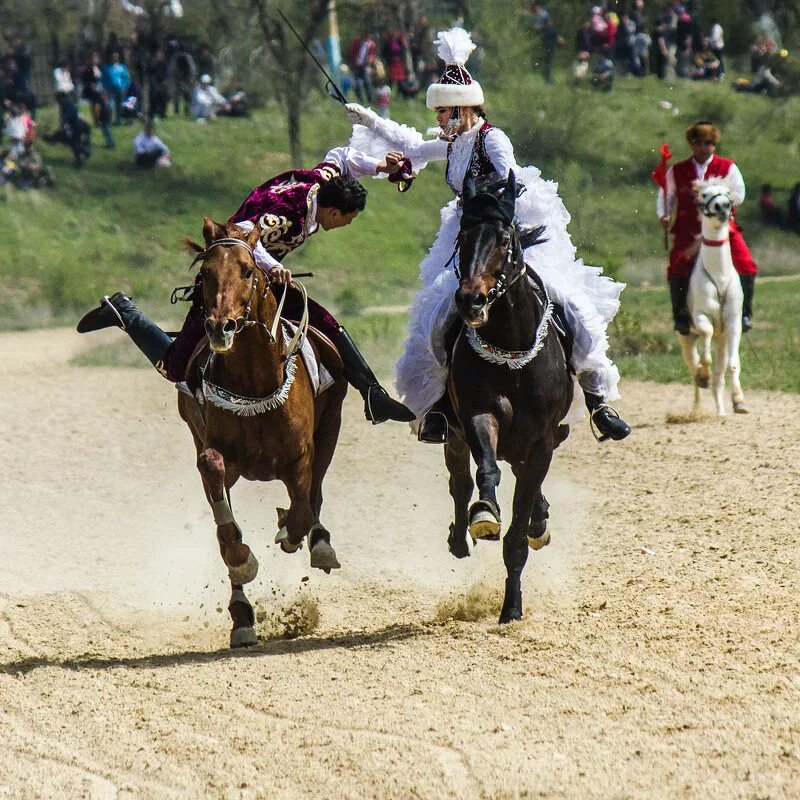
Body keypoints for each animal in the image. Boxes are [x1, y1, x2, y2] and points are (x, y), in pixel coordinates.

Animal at [180, 216, 346, 648]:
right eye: (205, 274)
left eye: (246, 270)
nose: (220, 328)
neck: (255, 383)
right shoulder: (214, 453)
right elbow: (224, 521)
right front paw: (242, 562)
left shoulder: (301, 455)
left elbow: (304, 508)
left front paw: (292, 532)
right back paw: (242, 619)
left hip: (331, 427)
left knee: (315, 495)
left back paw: (317, 543)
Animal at [680, 179, 748, 416]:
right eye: (703, 194)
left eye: (728, 193)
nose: (722, 206)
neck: (719, 275)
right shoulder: (701, 316)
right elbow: (706, 338)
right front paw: (704, 374)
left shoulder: (733, 323)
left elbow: (733, 365)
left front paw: (739, 400)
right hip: (687, 339)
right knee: (693, 369)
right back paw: (695, 407)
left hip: (722, 340)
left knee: (719, 377)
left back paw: (721, 412)